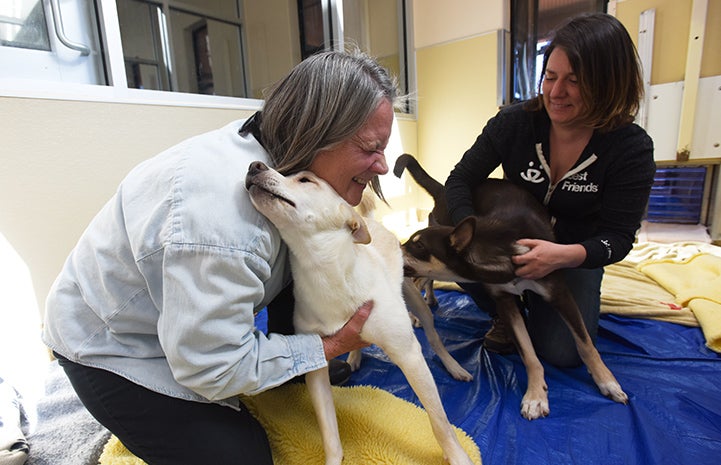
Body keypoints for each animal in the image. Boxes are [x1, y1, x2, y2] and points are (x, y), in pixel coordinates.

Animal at [248, 162, 472, 464]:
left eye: (305, 180)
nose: (254, 166)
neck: (322, 271)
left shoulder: (409, 355)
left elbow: (439, 422)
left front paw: (457, 456)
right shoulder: (317, 364)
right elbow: (329, 434)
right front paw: (332, 460)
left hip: (415, 299)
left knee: (434, 337)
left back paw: (453, 365)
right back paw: (354, 357)